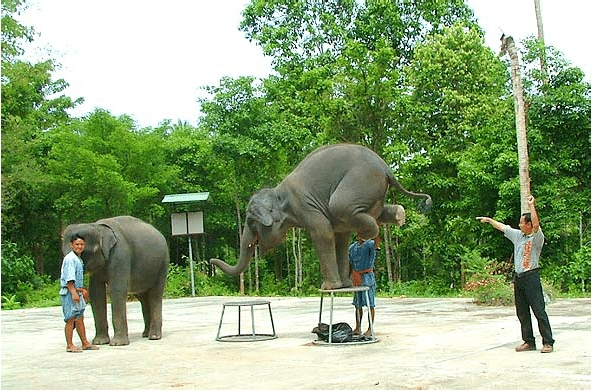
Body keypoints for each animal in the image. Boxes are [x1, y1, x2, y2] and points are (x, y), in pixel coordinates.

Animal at [62, 214, 168, 346]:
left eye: (83, 251)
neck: (97, 227)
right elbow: (96, 293)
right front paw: (100, 342)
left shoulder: (120, 254)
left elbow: (116, 290)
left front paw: (118, 344)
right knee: (143, 298)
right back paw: (145, 334)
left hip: (162, 264)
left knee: (155, 295)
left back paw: (153, 337)